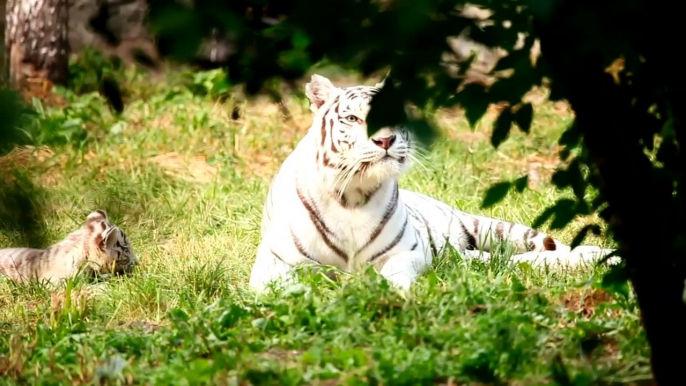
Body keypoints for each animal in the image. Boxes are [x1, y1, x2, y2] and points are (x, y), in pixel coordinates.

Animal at [250, 74, 620, 294]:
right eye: (353, 118)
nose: (385, 140)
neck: (354, 193)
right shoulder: (273, 265)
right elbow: (288, 285)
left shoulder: (407, 252)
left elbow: (395, 272)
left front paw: (390, 292)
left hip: (495, 229)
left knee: (556, 248)